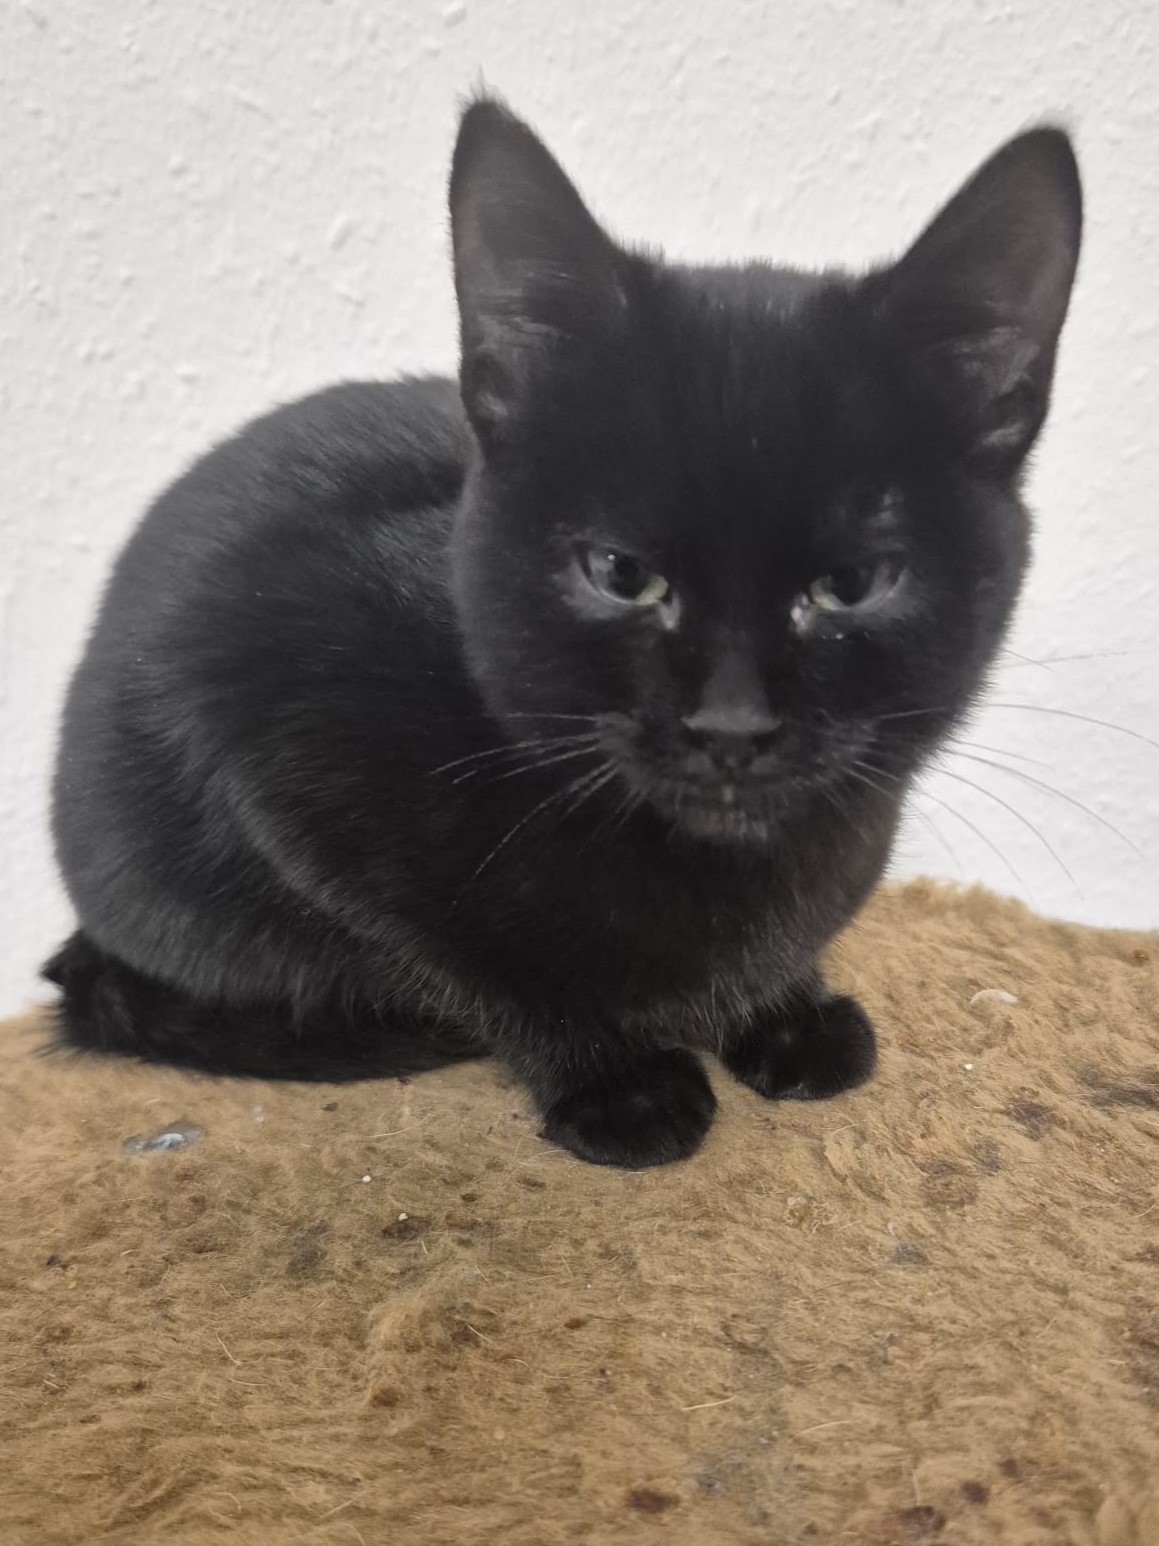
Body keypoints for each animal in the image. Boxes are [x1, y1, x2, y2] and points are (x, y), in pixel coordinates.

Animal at [44, 97, 1082, 1168]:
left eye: (850, 586)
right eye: (621, 575)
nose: (732, 725)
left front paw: (783, 1012)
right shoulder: (268, 729)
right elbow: (476, 962)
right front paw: (615, 1082)